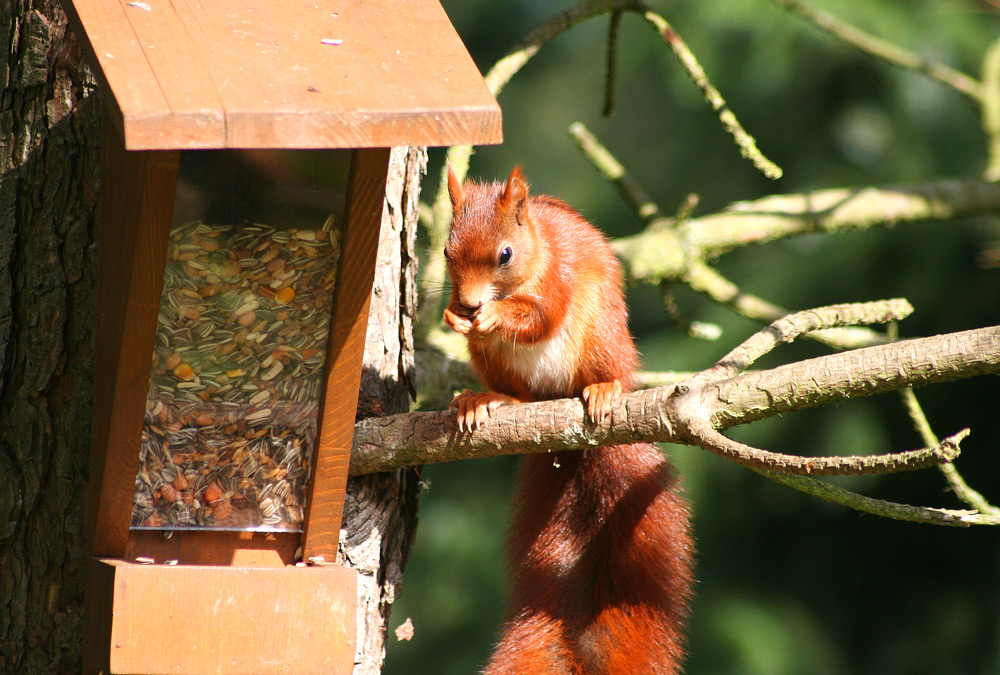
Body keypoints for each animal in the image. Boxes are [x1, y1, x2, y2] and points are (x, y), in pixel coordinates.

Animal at [442, 168, 692, 675]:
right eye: (444, 252)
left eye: (505, 254)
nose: (471, 304)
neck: (538, 249)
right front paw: (454, 315)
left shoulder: (558, 277)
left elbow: (540, 317)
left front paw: (495, 314)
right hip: (494, 364)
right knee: (516, 392)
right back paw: (485, 400)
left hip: (601, 335)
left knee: (602, 369)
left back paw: (604, 390)